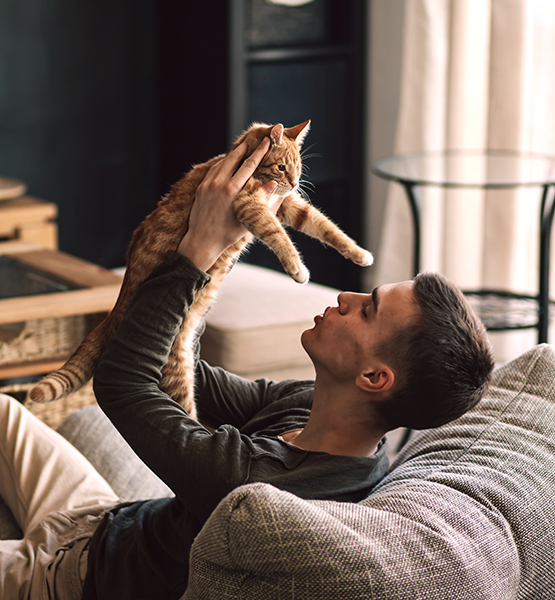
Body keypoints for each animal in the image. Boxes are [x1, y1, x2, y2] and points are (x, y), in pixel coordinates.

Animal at [27, 118, 374, 418]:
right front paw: (297, 269)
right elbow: (280, 237)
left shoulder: (287, 205)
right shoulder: (250, 204)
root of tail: (116, 307)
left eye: (298, 168)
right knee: (186, 415)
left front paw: (359, 254)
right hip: (177, 371)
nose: (293, 183)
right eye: (280, 167)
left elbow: (325, 227)